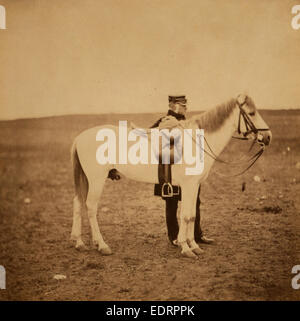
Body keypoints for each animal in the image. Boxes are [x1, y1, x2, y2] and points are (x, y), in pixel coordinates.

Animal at [70, 93, 272, 258]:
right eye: (252, 113)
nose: (268, 136)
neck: (196, 142)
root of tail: (80, 137)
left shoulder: (194, 186)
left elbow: (191, 215)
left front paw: (194, 245)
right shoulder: (189, 185)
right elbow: (186, 216)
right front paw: (185, 247)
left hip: (86, 179)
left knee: (78, 203)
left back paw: (79, 242)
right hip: (96, 180)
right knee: (90, 207)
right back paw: (101, 245)